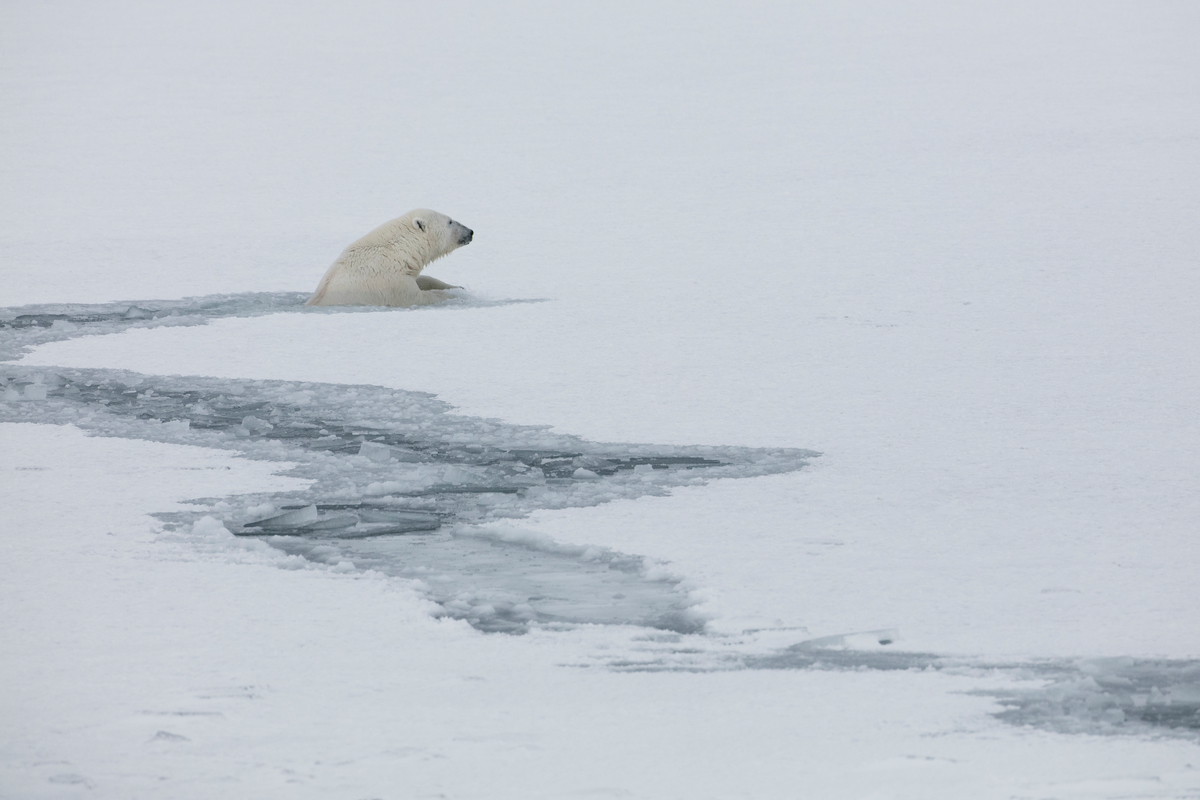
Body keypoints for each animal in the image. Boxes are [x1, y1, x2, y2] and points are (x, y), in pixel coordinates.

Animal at [304, 208, 472, 309]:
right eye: (450, 221)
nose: (470, 232)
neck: (397, 251)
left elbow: (424, 279)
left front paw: (458, 287)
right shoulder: (391, 284)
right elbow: (417, 297)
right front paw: (453, 296)